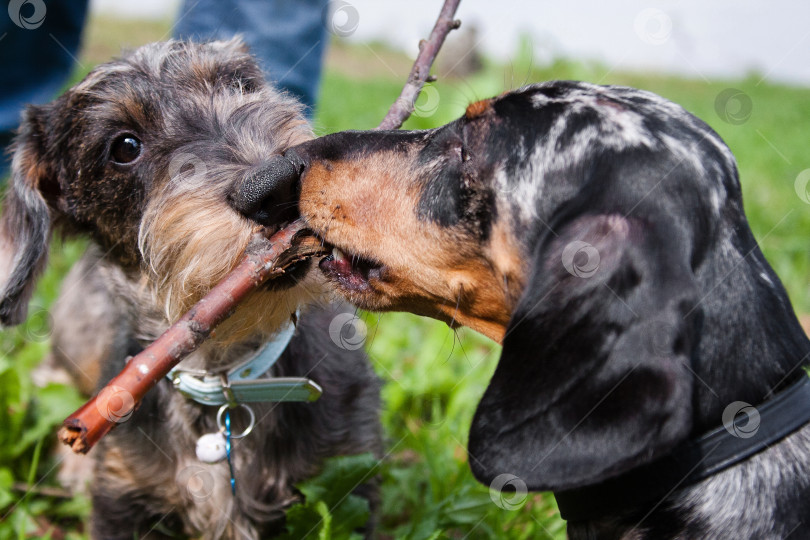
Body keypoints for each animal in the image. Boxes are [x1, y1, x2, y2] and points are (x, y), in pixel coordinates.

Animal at [0, 40, 380, 536]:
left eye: (240, 84)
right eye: (124, 146)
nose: (274, 184)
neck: (223, 374)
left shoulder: (350, 475)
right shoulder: (121, 500)